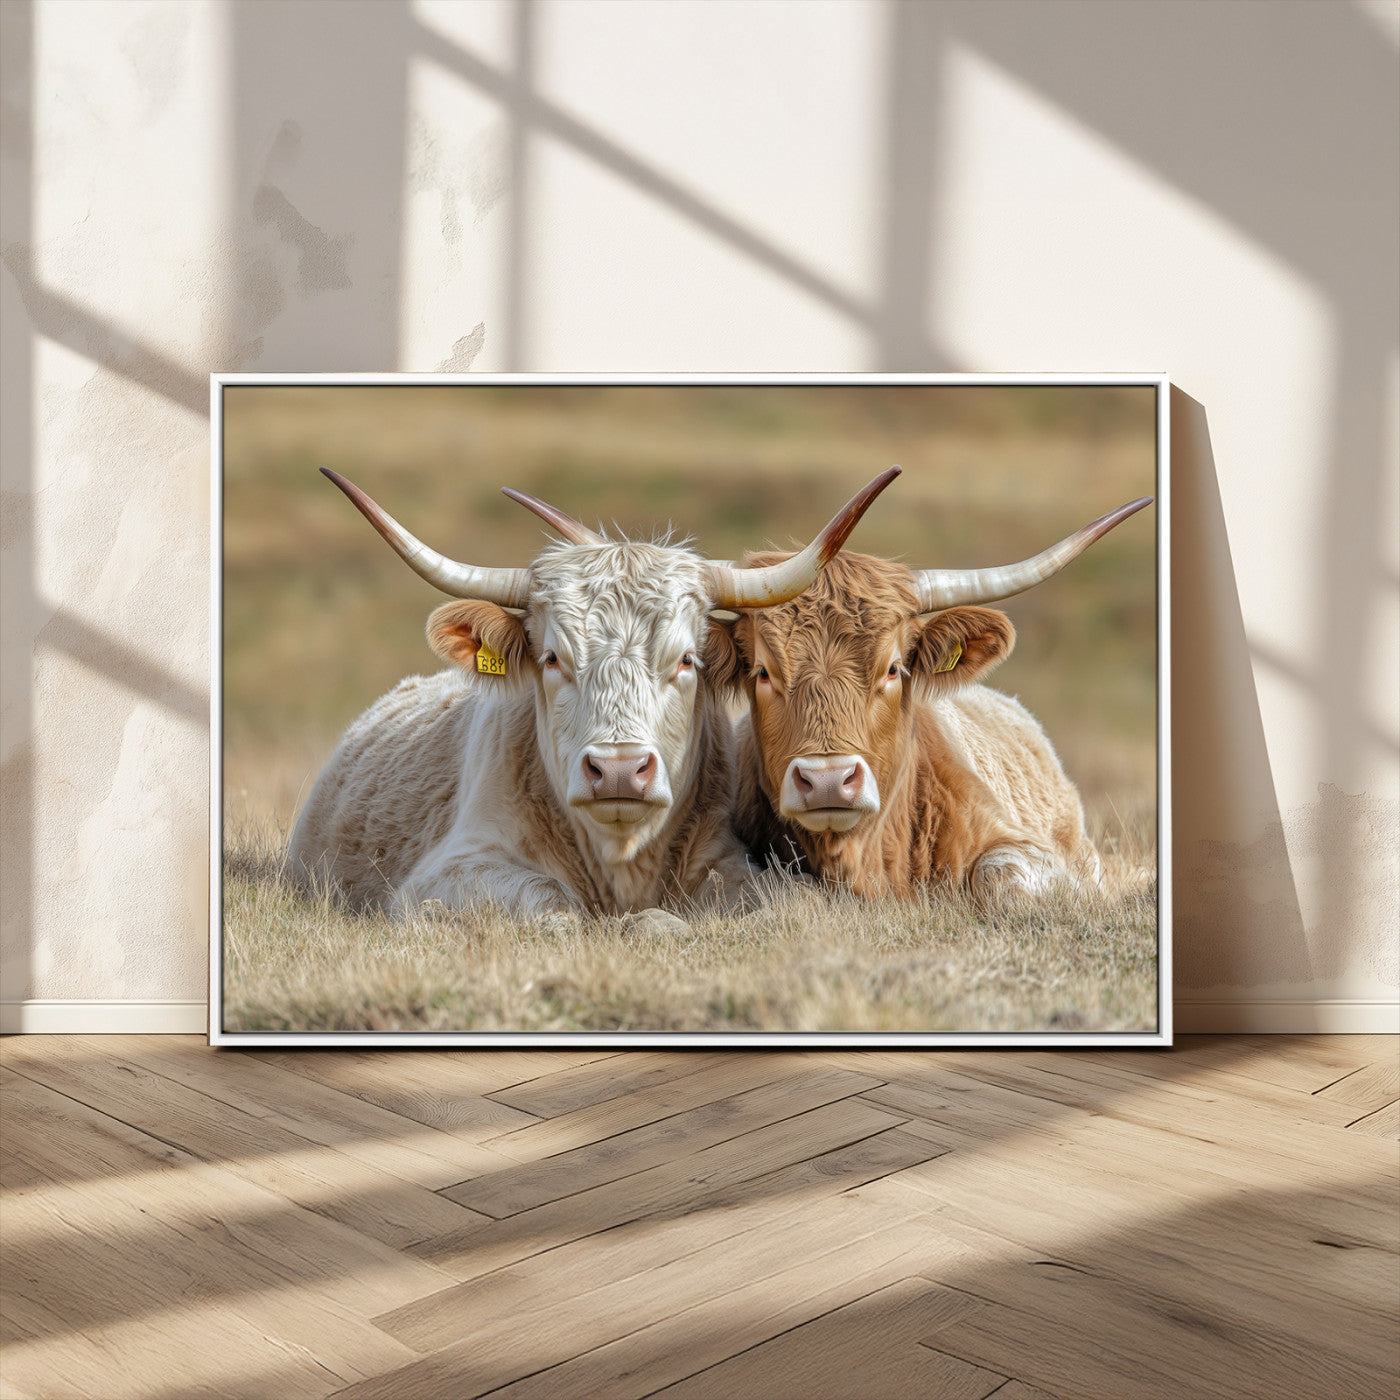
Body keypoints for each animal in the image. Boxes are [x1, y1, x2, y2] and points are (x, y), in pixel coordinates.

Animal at [287, 466, 899, 923]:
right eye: (553, 658)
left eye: (686, 660)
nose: (620, 770)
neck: (621, 860)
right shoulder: (447, 873)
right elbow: (551, 902)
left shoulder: (732, 862)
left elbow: (785, 902)